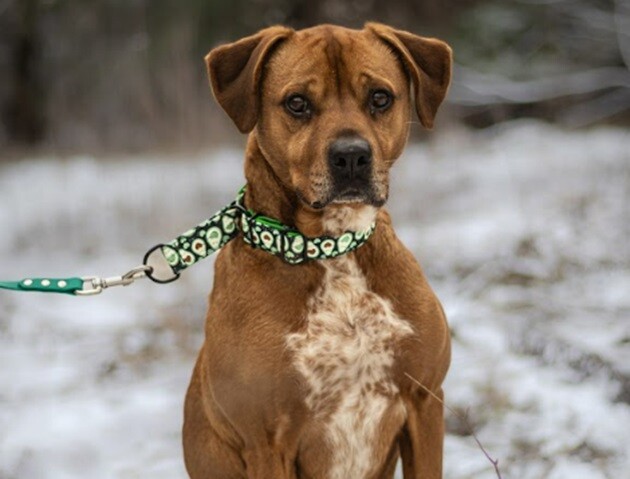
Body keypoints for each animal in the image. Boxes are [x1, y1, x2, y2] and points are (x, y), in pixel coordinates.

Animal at [184, 23, 454, 479]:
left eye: (380, 97)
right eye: (297, 103)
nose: (351, 156)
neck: (330, 247)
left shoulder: (425, 402)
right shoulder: (266, 442)